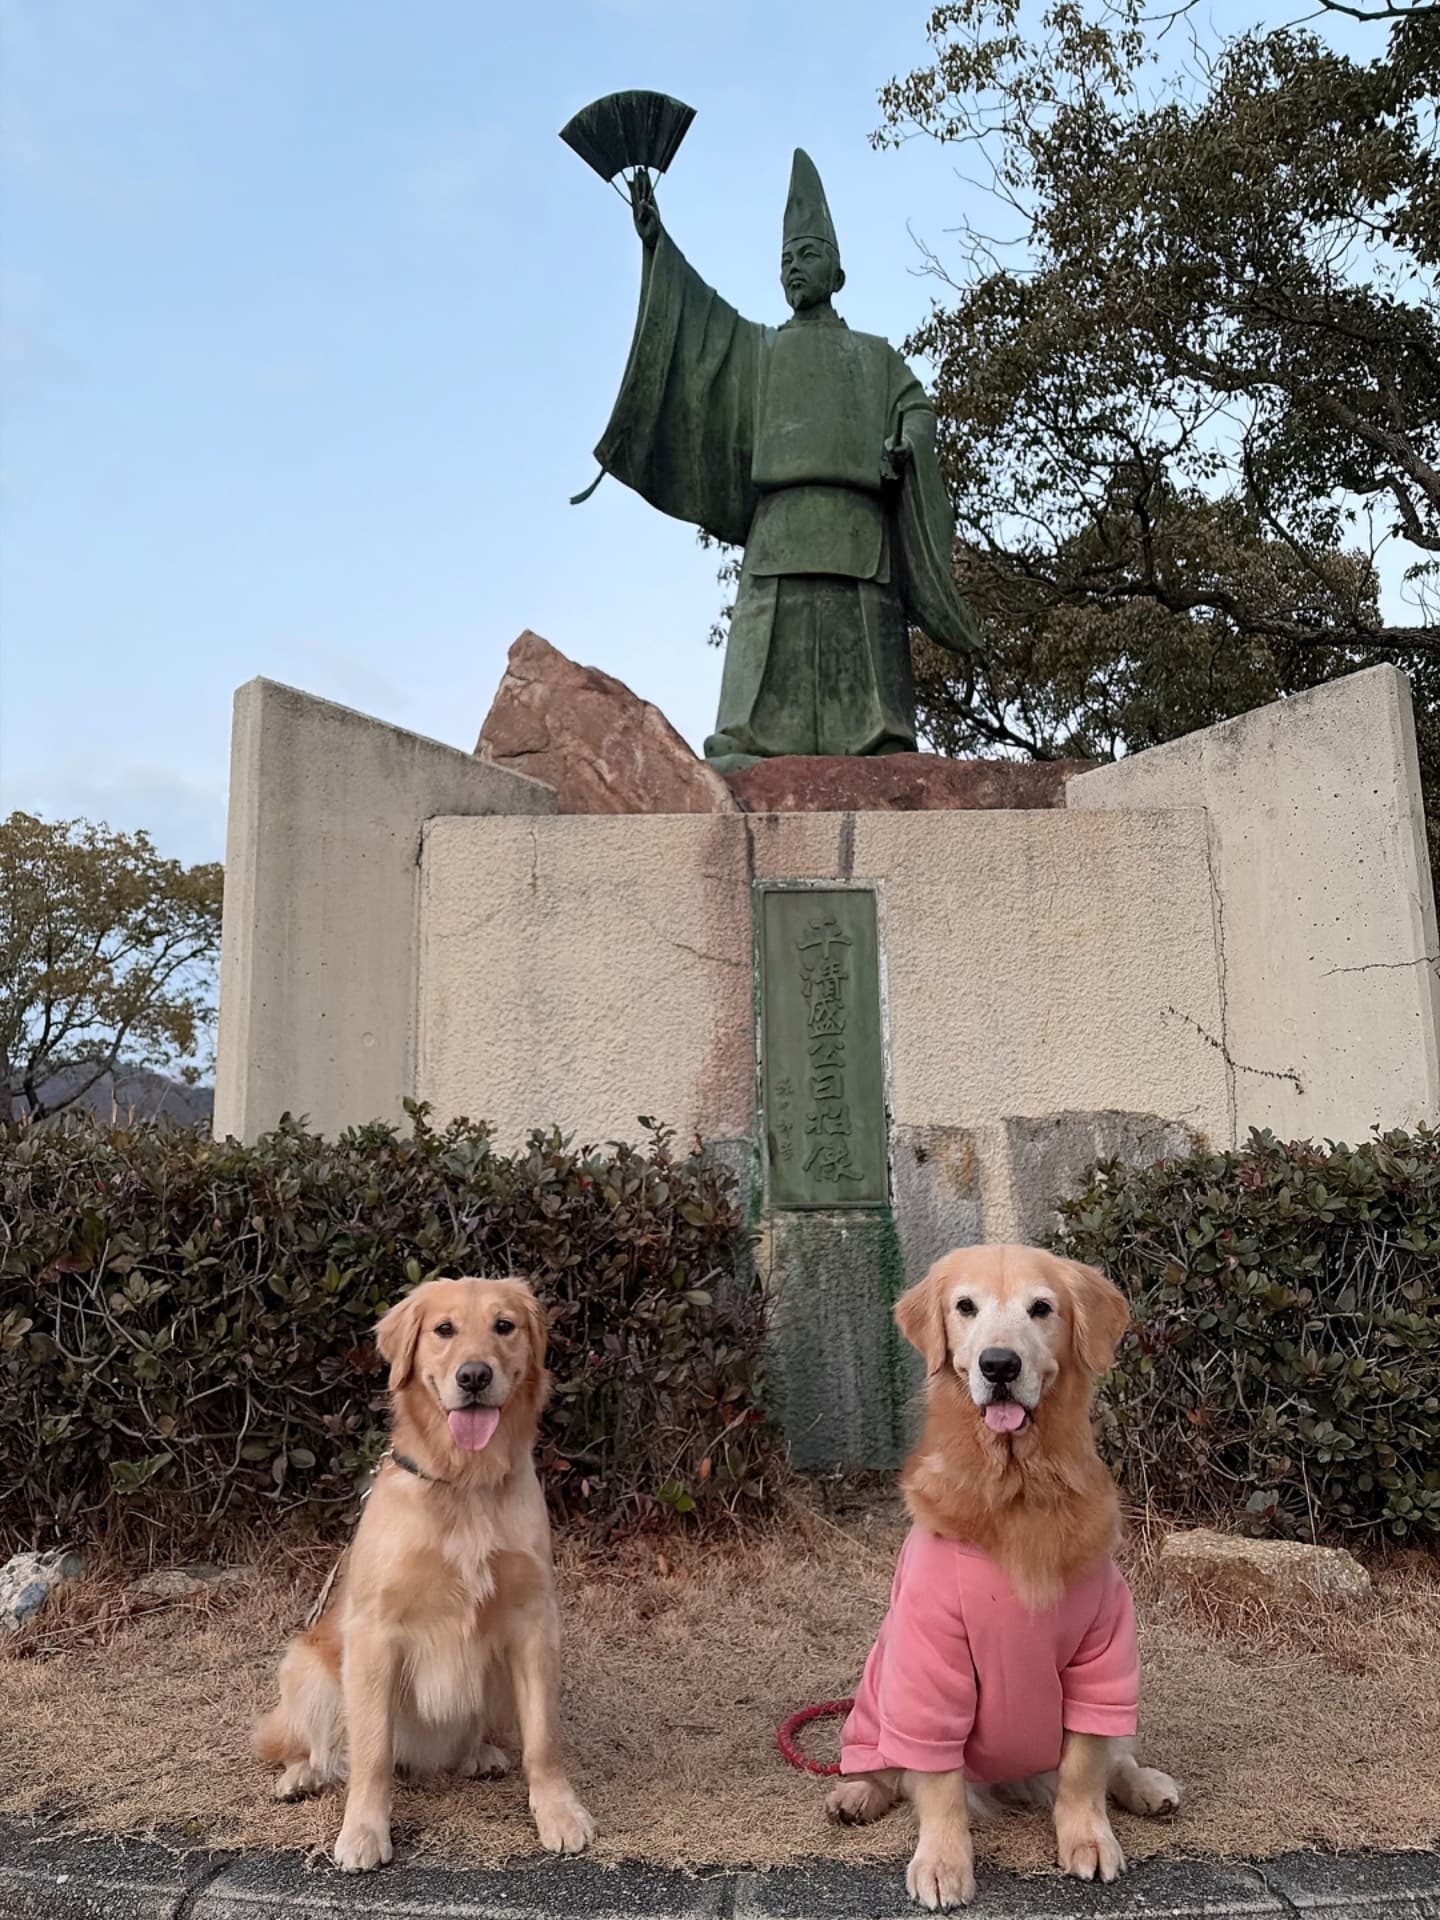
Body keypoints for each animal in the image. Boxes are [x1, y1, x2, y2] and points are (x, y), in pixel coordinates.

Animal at [253, 1276, 594, 1872]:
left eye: (504, 1326)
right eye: (444, 1330)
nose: (474, 1375)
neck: (464, 1484)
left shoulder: (533, 1623)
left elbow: (543, 1740)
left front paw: (558, 1812)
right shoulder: (375, 1632)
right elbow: (371, 1753)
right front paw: (364, 1832)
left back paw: (479, 1755)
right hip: (306, 1665)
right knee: (321, 1748)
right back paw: (302, 1776)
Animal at [825, 1245, 1179, 1909]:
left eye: (1041, 1308)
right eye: (965, 1306)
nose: (999, 1364)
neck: (1017, 1489)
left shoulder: (1102, 1660)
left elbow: (1084, 1769)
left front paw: (1088, 1838)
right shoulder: (931, 1663)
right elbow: (938, 1784)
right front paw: (943, 1862)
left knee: (1117, 1760)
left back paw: (1147, 1786)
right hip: (874, 1704)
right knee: (884, 1766)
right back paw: (856, 1793)